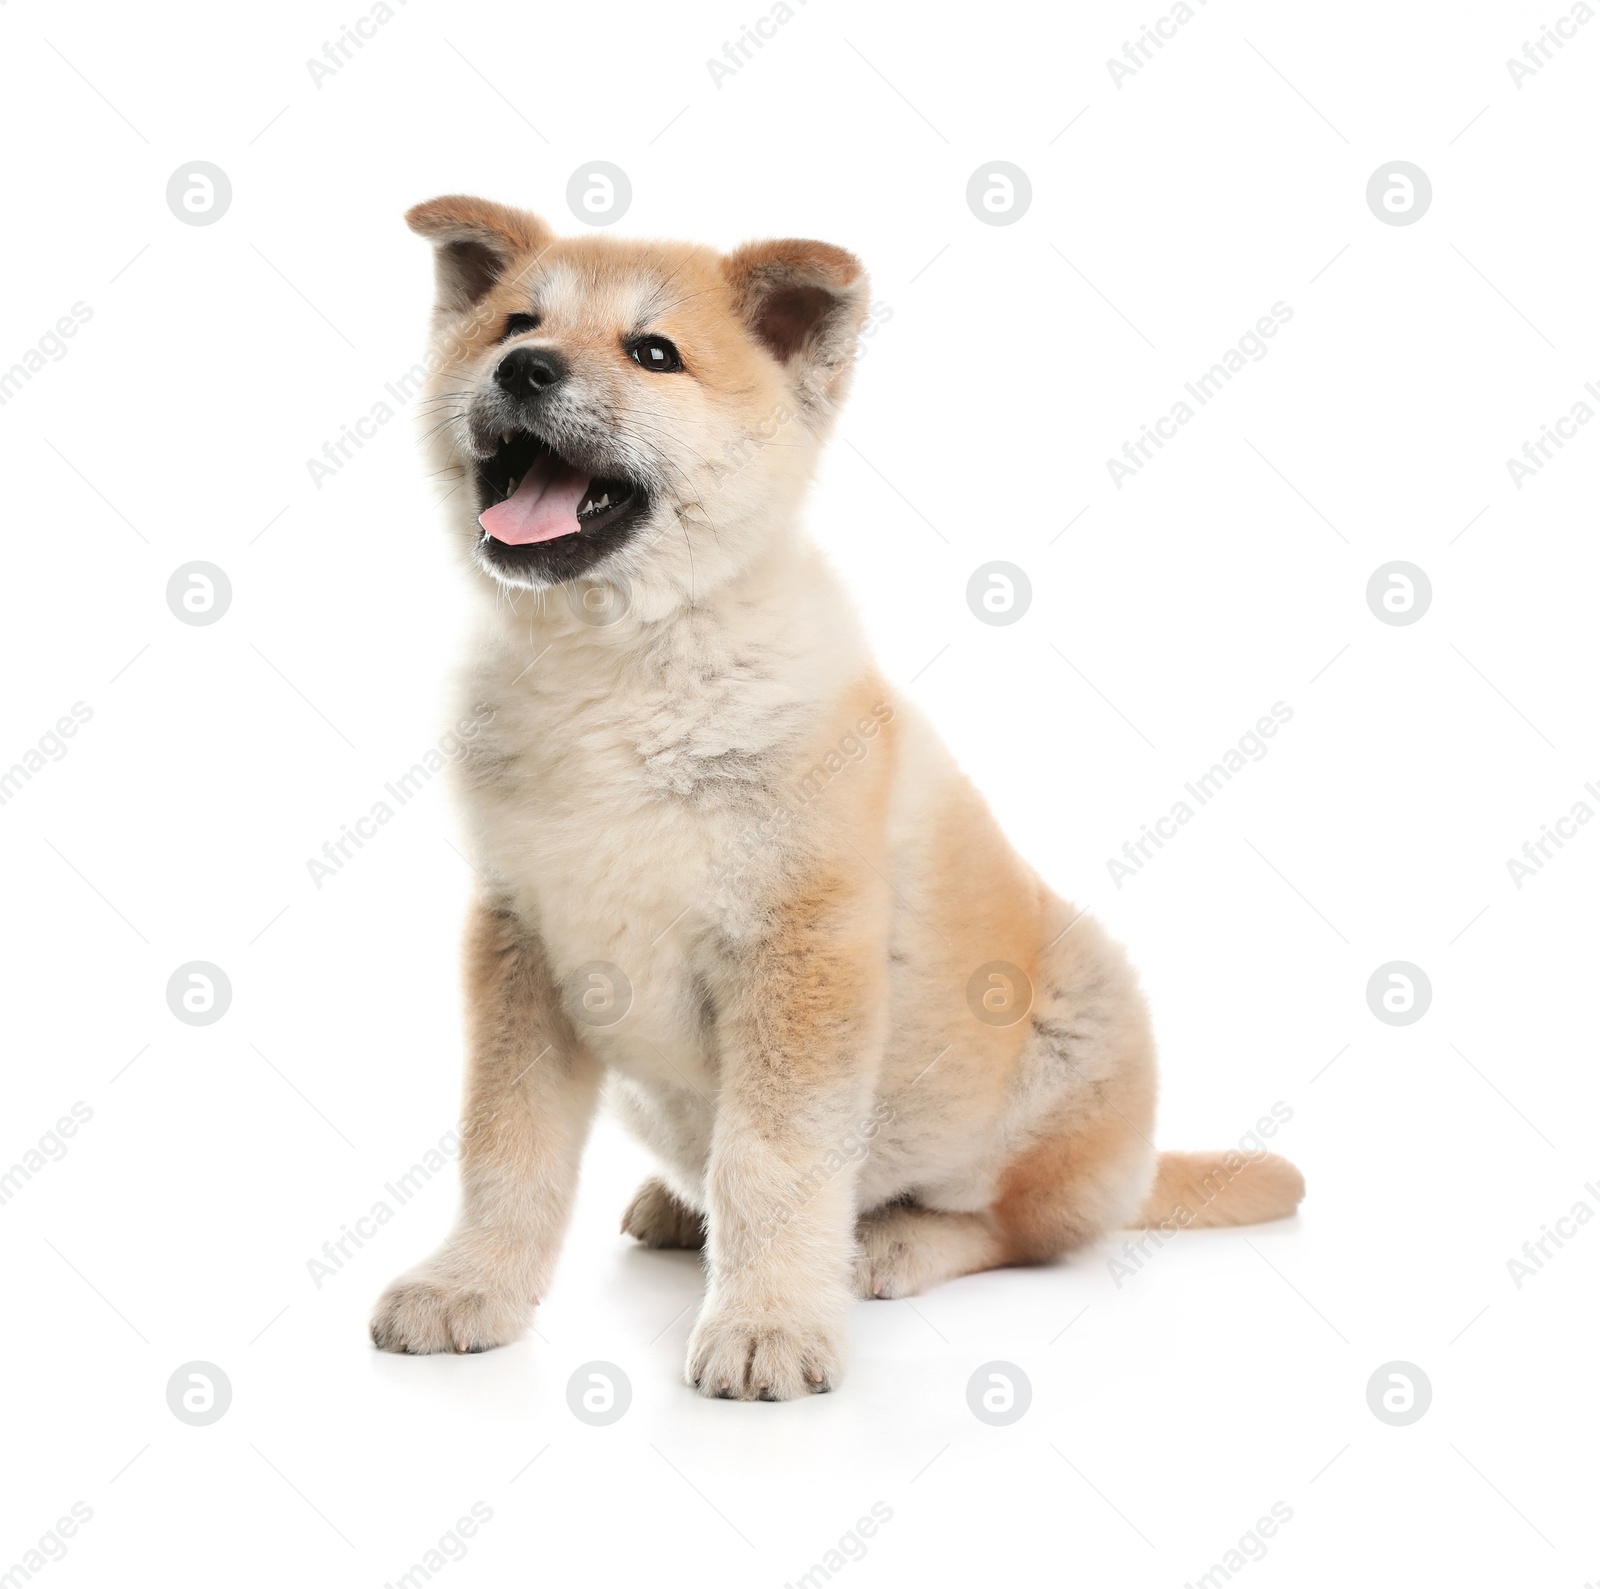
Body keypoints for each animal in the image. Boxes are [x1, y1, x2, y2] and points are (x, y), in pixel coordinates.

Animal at [371, 198, 1299, 1401]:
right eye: (515, 324)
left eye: (653, 353)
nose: (524, 369)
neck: (616, 675)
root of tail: (1137, 1170)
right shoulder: (521, 941)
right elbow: (505, 1144)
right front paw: (471, 1283)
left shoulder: (797, 952)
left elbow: (774, 1162)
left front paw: (767, 1323)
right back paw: (679, 1204)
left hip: (1078, 1013)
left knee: (1021, 1228)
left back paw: (894, 1239)